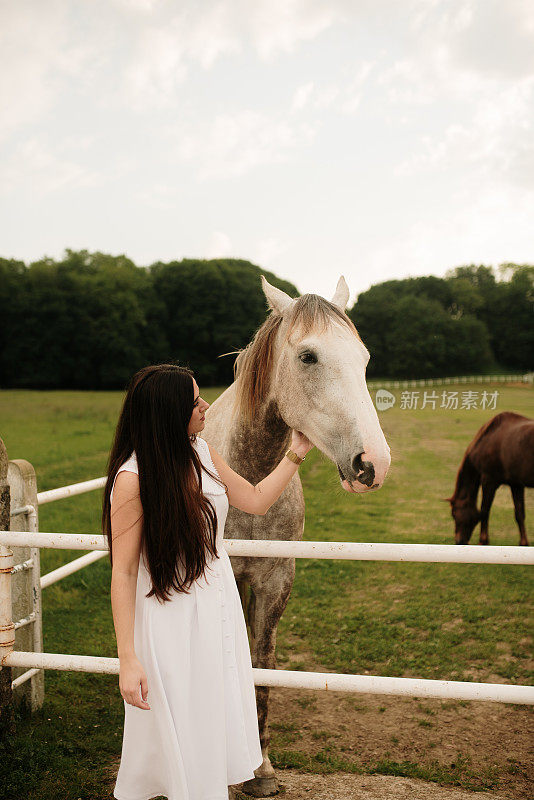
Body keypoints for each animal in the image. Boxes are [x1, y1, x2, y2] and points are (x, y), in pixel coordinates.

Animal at [203, 274, 392, 792]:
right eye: (308, 356)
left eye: (364, 359)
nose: (374, 463)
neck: (245, 477)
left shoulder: (274, 580)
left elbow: (262, 662)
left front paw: (260, 769)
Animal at [448, 410, 534, 548]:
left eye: (454, 513)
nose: (459, 541)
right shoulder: (516, 484)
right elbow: (519, 513)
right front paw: (523, 543)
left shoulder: (489, 481)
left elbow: (484, 510)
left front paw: (483, 541)